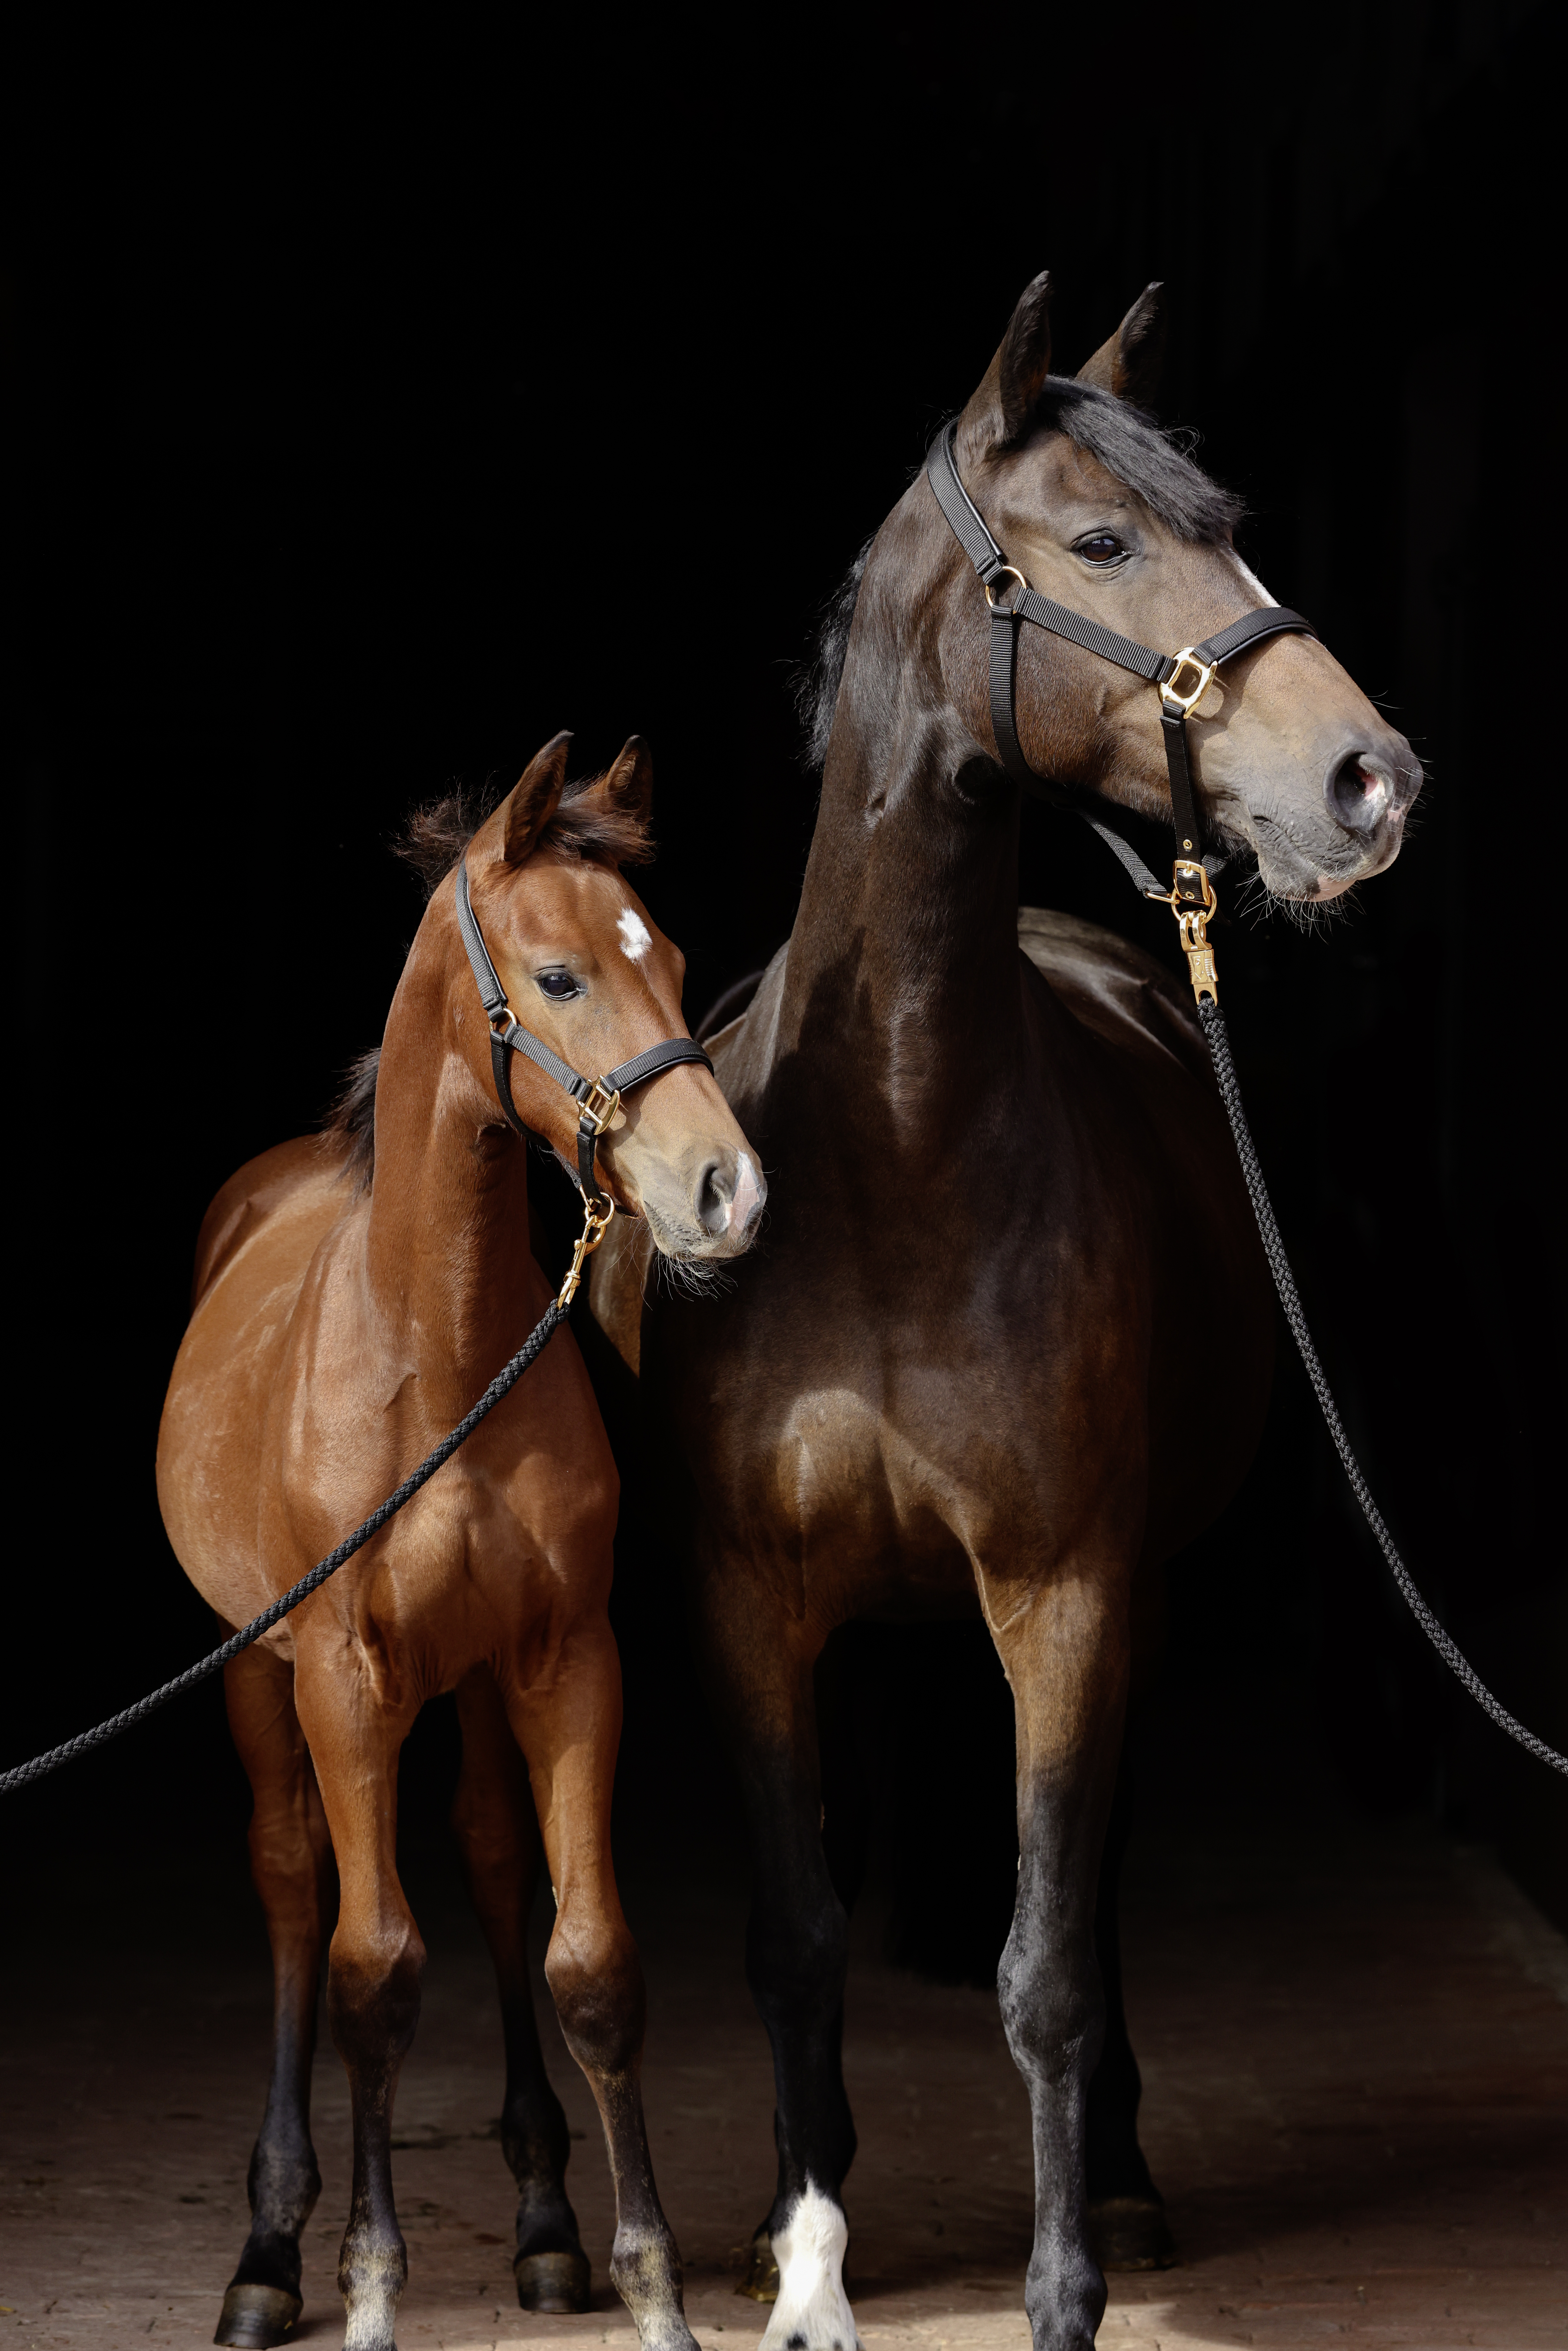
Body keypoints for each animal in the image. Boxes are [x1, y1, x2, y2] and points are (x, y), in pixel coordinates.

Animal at [156, 724, 761, 2341]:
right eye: (558, 976)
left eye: (677, 959)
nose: (724, 1189)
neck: (435, 1354)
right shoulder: (344, 1677)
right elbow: (373, 1970)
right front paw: (365, 2283)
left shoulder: (567, 1659)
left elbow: (590, 1956)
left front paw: (651, 2282)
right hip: (258, 1676)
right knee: (295, 1888)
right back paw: (269, 2249)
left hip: (479, 1685)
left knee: (491, 1856)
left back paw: (545, 2218)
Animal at [595, 280, 1429, 2351]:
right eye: (1109, 543)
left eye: (1235, 528)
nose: (1370, 781)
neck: (897, 1158)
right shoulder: (745, 1596)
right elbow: (795, 1934)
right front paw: (806, 2265)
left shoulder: (1069, 1588)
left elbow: (1045, 1959)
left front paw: (1062, 2287)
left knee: (1099, 1887)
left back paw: (1115, 2178)